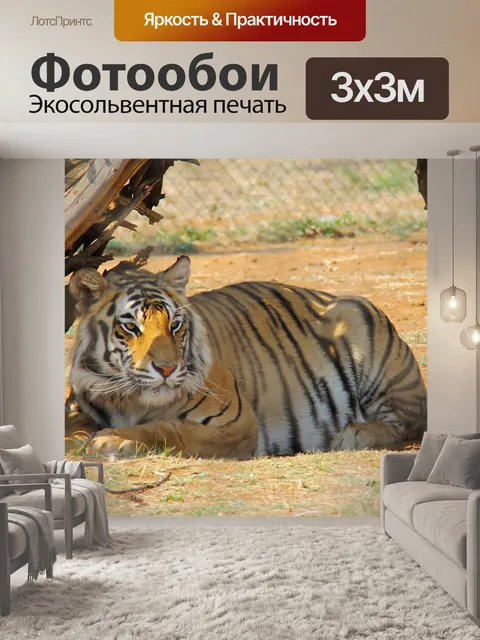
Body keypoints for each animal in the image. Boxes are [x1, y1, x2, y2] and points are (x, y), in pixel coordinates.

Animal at [66, 255, 427, 459]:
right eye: (131, 327)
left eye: (175, 324)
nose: (167, 369)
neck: (130, 401)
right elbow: (74, 427)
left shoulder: (235, 423)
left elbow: (167, 428)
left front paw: (111, 441)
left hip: (366, 341)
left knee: (407, 423)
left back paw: (354, 434)